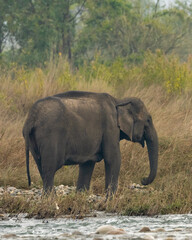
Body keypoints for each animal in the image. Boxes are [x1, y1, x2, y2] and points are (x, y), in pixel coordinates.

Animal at [22, 91, 158, 194]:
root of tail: (32, 117)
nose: (143, 179)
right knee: (49, 169)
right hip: (50, 135)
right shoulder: (110, 127)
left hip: (33, 139)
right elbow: (113, 159)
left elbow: (87, 164)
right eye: (148, 120)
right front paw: (110, 200)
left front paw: (80, 197)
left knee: (41, 167)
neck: (118, 100)